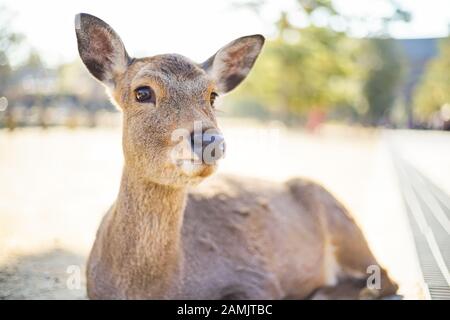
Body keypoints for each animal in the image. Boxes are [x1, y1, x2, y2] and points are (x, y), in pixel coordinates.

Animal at [74, 11, 398, 298]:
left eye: (213, 95)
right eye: (142, 92)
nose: (209, 140)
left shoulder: (258, 278)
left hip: (341, 219)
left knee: (386, 277)